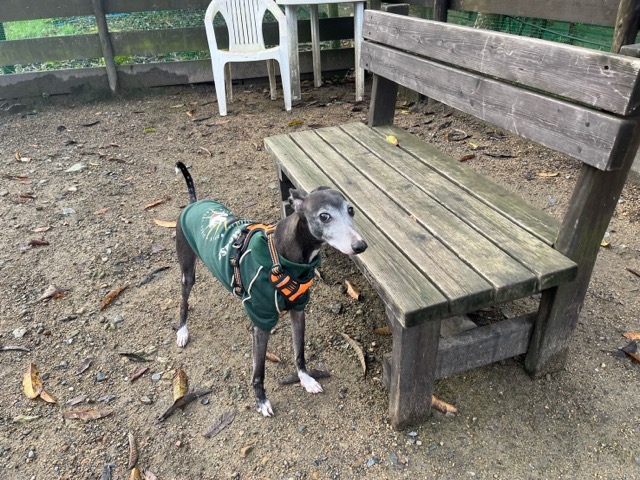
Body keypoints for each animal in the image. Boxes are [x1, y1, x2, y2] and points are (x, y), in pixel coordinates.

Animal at [174, 161, 367, 416]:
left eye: (351, 210)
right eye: (324, 216)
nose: (360, 245)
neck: (284, 256)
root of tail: (193, 203)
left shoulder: (298, 310)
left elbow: (299, 352)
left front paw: (305, 379)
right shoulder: (261, 322)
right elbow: (258, 371)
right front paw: (261, 400)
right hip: (187, 271)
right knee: (184, 300)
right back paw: (182, 331)